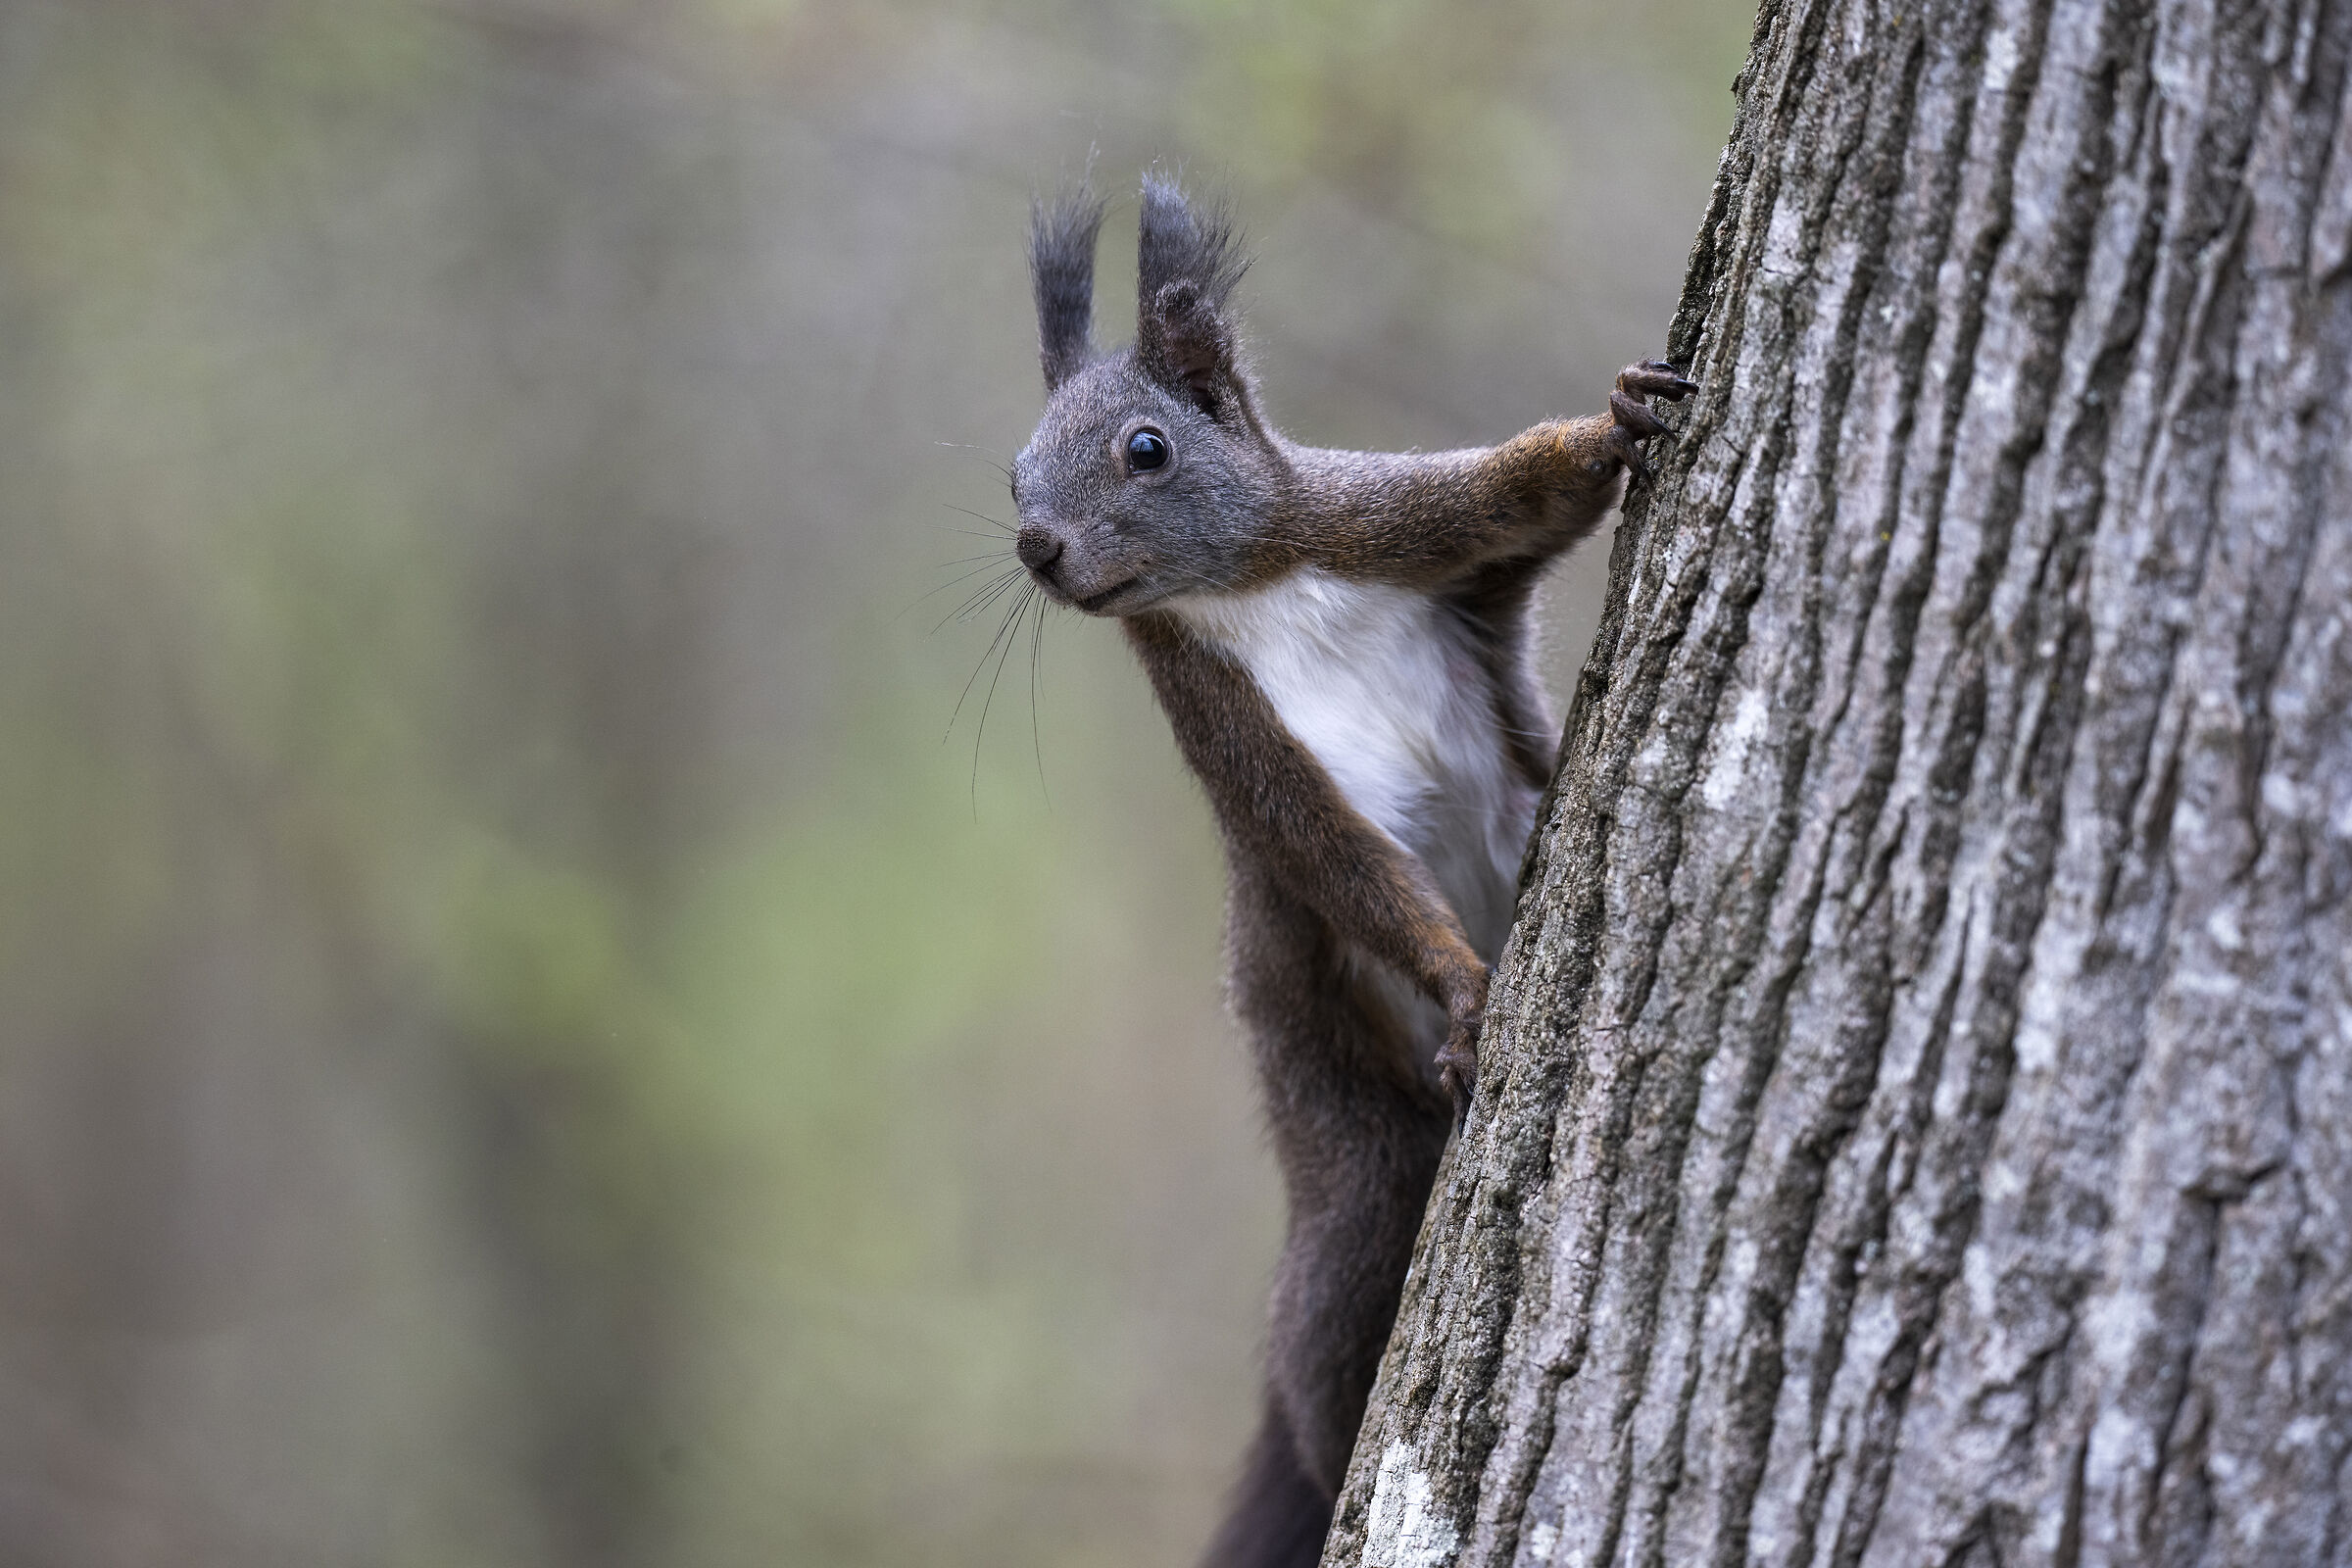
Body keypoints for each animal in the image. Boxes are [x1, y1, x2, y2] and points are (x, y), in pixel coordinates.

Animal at [1009, 174, 1694, 1568]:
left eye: (1148, 448)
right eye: (1011, 476)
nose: (1035, 547)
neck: (1248, 593)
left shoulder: (1378, 521)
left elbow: (1511, 497)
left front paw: (1613, 420)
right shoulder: (1230, 736)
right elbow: (1342, 869)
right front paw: (1468, 991)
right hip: (1361, 1169)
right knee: (1326, 1353)